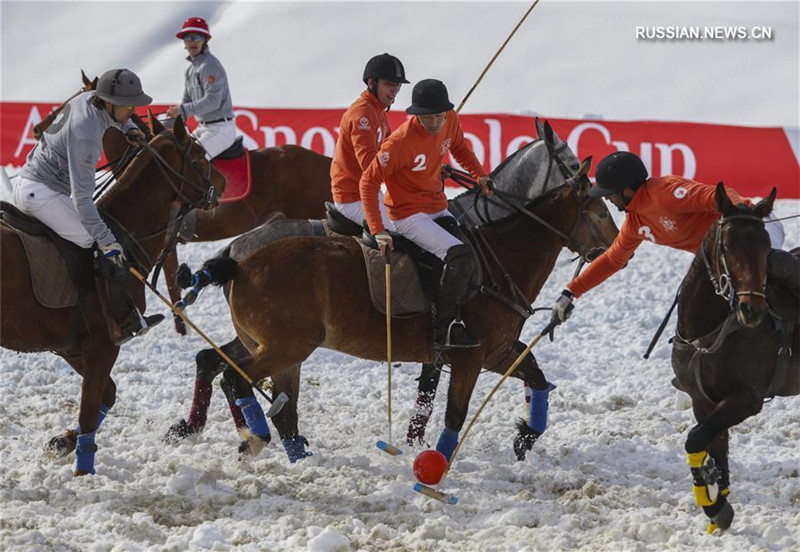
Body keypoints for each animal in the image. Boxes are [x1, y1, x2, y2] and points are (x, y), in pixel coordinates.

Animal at [0, 113, 225, 474]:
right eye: (198, 156)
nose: (223, 182)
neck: (124, 232)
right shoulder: (104, 345)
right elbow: (90, 410)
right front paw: (85, 471)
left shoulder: (73, 347)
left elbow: (107, 395)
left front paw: (62, 442)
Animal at [186, 119, 620, 462]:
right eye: (599, 212)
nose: (617, 249)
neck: (499, 255)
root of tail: (236, 256)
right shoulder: (469, 355)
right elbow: (449, 410)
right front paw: (428, 460)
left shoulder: (496, 351)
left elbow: (536, 377)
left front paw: (524, 437)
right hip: (287, 344)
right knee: (240, 380)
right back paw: (253, 437)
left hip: (269, 342)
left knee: (234, 373)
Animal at [672, 184, 796, 532]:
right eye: (728, 246)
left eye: (766, 246)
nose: (752, 310)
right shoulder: (702, 400)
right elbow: (715, 447)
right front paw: (718, 502)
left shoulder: (746, 399)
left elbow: (695, 438)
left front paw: (715, 508)